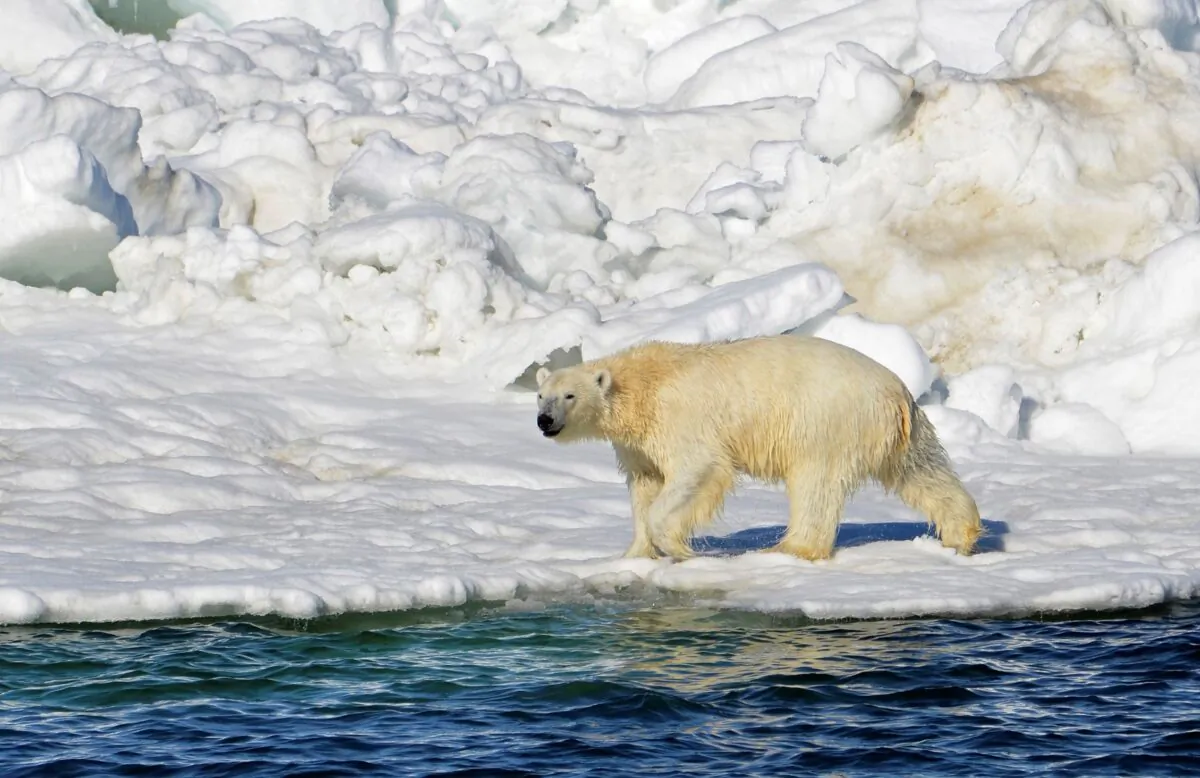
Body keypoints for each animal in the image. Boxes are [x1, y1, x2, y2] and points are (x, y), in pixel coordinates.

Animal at [534, 334, 981, 561]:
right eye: (541, 395)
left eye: (569, 395)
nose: (544, 421)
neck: (643, 385)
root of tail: (895, 392)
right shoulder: (638, 444)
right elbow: (644, 485)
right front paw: (635, 554)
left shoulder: (681, 419)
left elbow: (697, 470)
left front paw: (678, 547)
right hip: (901, 432)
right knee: (922, 471)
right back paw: (961, 534)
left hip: (825, 421)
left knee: (815, 484)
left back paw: (791, 548)